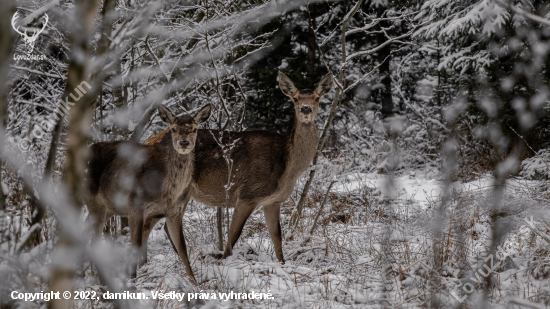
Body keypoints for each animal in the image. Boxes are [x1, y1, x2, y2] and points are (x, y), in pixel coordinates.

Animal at [86, 102, 211, 280]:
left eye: (194, 129)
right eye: (173, 129)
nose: (184, 143)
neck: (167, 191)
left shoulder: (174, 211)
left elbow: (182, 248)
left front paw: (194, 282)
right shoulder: (135, 206)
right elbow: (135, 245)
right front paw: (132, 280)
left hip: (108, 208)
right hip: (94, 201)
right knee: (93, 240)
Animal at [144, 71, 334, 264]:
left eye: (317, 98)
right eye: (295, 98)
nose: (305, 109)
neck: (287, 167)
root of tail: (149, 141)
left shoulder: (273, 201)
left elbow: (276, 237)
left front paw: (282, 263)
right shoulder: (248, 193)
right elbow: (234, 235)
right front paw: (223, 261)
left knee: (164, 225)